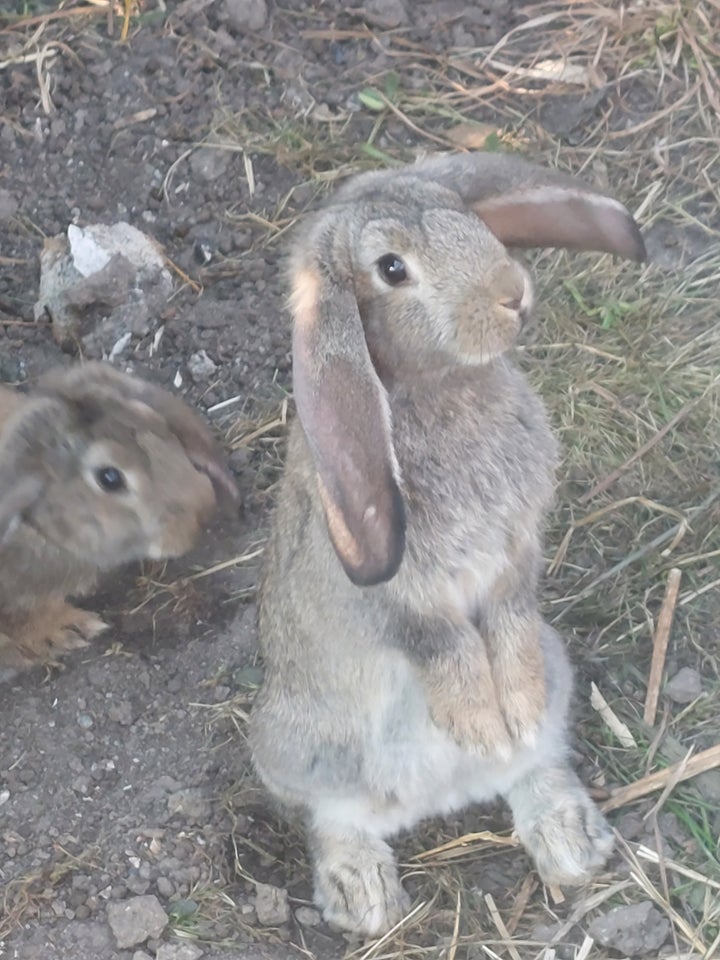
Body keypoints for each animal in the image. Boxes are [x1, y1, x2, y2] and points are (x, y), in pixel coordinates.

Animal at [250, 152, 644, 936]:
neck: (436, 390)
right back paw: (364, 896)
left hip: (558, 666)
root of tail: (441, 799)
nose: (512, 294)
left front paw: (510, 713)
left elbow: (508, 622)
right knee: (336, 815)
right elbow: (444, 644)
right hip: (302, 747)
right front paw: (480, 724)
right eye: (391, 268)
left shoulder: (515, 559)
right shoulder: (405, 600)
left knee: (534, 762)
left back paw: (568, 840)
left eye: (465, 217)